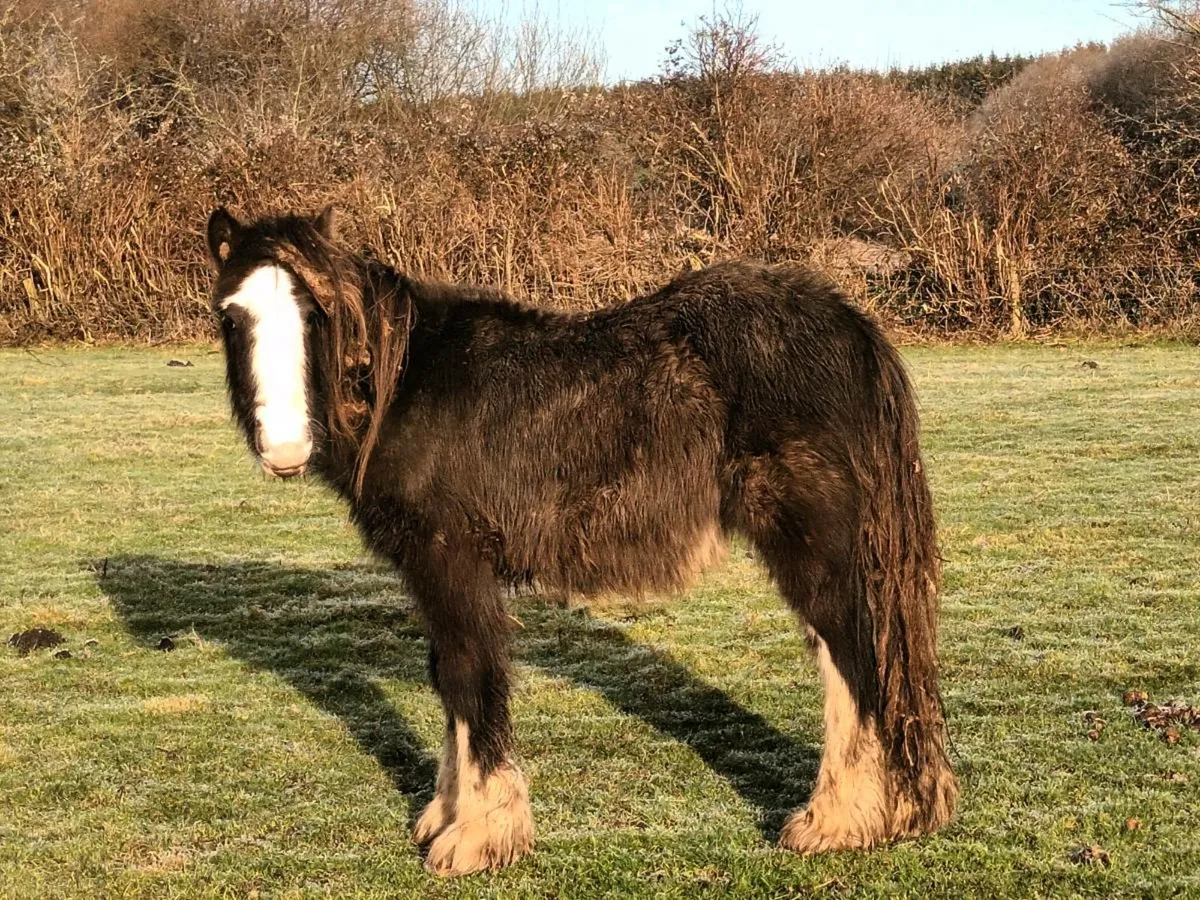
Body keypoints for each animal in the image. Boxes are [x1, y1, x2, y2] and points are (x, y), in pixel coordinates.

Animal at [205, 206, 957, 876]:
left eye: (317, 314)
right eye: (230, 316)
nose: (284, 450)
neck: (404, 386)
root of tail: (851, 325)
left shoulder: (453, 562)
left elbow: (470, 679)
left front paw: (477, 838)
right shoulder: (430, 573)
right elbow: (446, 680)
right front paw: (444, 816)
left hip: (814, 549)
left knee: (854, 662)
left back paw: (838, 821)